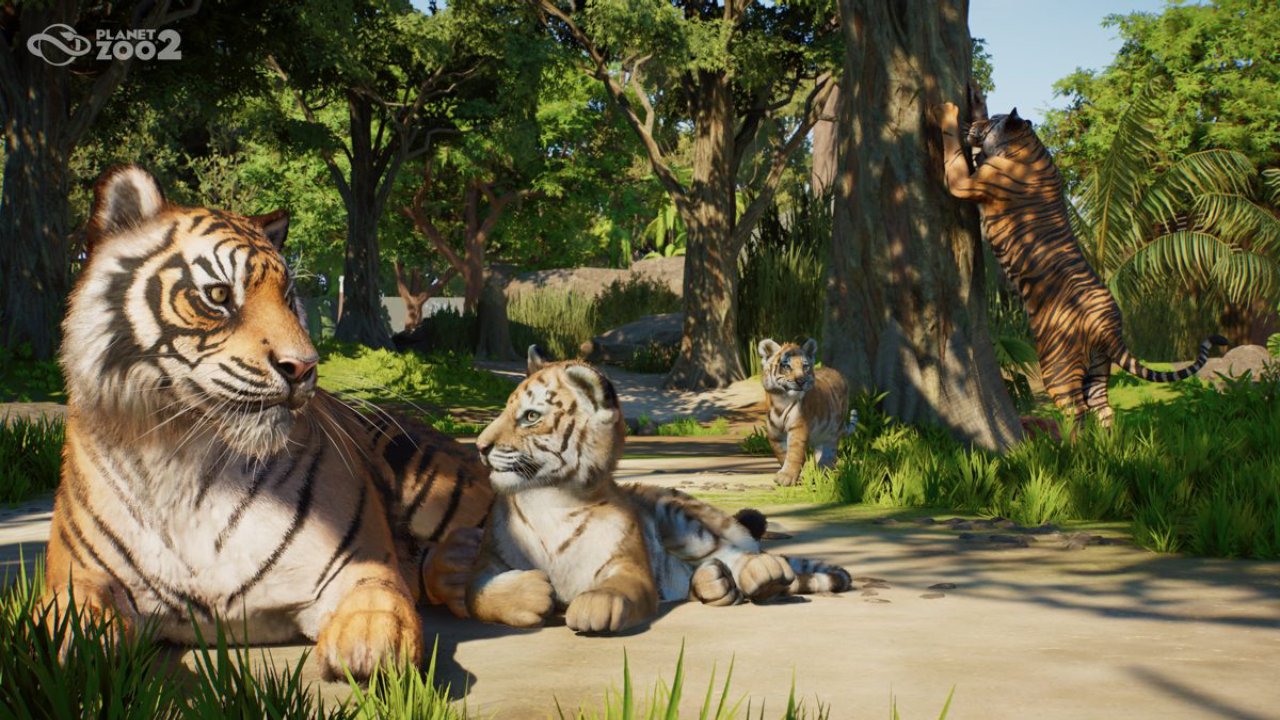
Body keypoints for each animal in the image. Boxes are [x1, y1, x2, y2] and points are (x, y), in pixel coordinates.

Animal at [43, 165, 493, 680]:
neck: (185, 457)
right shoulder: (79, 576)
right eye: (219, 295)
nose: (303, 367)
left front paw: (371, 644)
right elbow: (67, 622)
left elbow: (380, 597)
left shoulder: (359, 564)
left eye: (289, 298)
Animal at [758, 339, 855, 486]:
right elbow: (781, 452)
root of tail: (839, 373)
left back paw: (823, 472)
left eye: (805, 366)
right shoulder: (774, 433)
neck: (781, 400)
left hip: (833, 431)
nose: (801, 381)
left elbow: (793, 453)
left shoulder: (799, 426)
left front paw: (786, 477)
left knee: (830, 453)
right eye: (786, 366)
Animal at [935, 102, 1228, 428]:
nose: (976, 123)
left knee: (1076, 413)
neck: (1026, 143)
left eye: (991, 122)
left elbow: (953, 150)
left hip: (1056, 366)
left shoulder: (965, 182)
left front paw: (948, 111)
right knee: (1103, 410)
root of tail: (1109, 325)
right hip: (1099, 366)